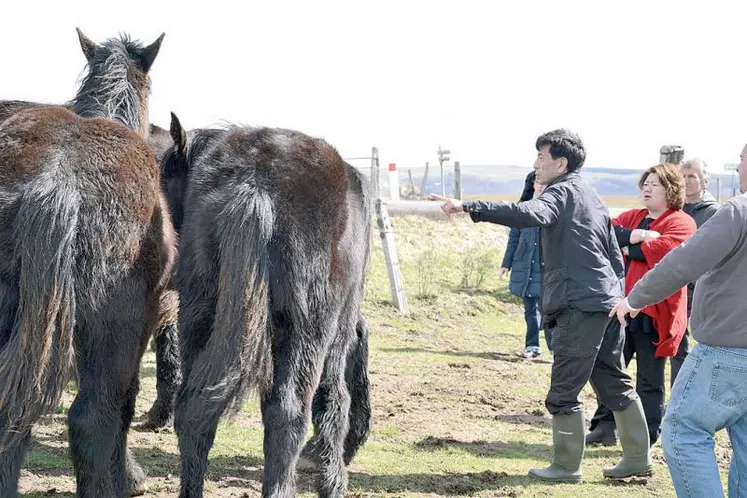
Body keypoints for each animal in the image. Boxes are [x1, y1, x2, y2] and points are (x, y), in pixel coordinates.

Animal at [164, 113, 374, 498]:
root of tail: (254, 185)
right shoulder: (337, 333)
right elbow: (333, 398)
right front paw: (333, 477)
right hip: (307, 331)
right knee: (288, 413)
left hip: (200, 317)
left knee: (193, 409)